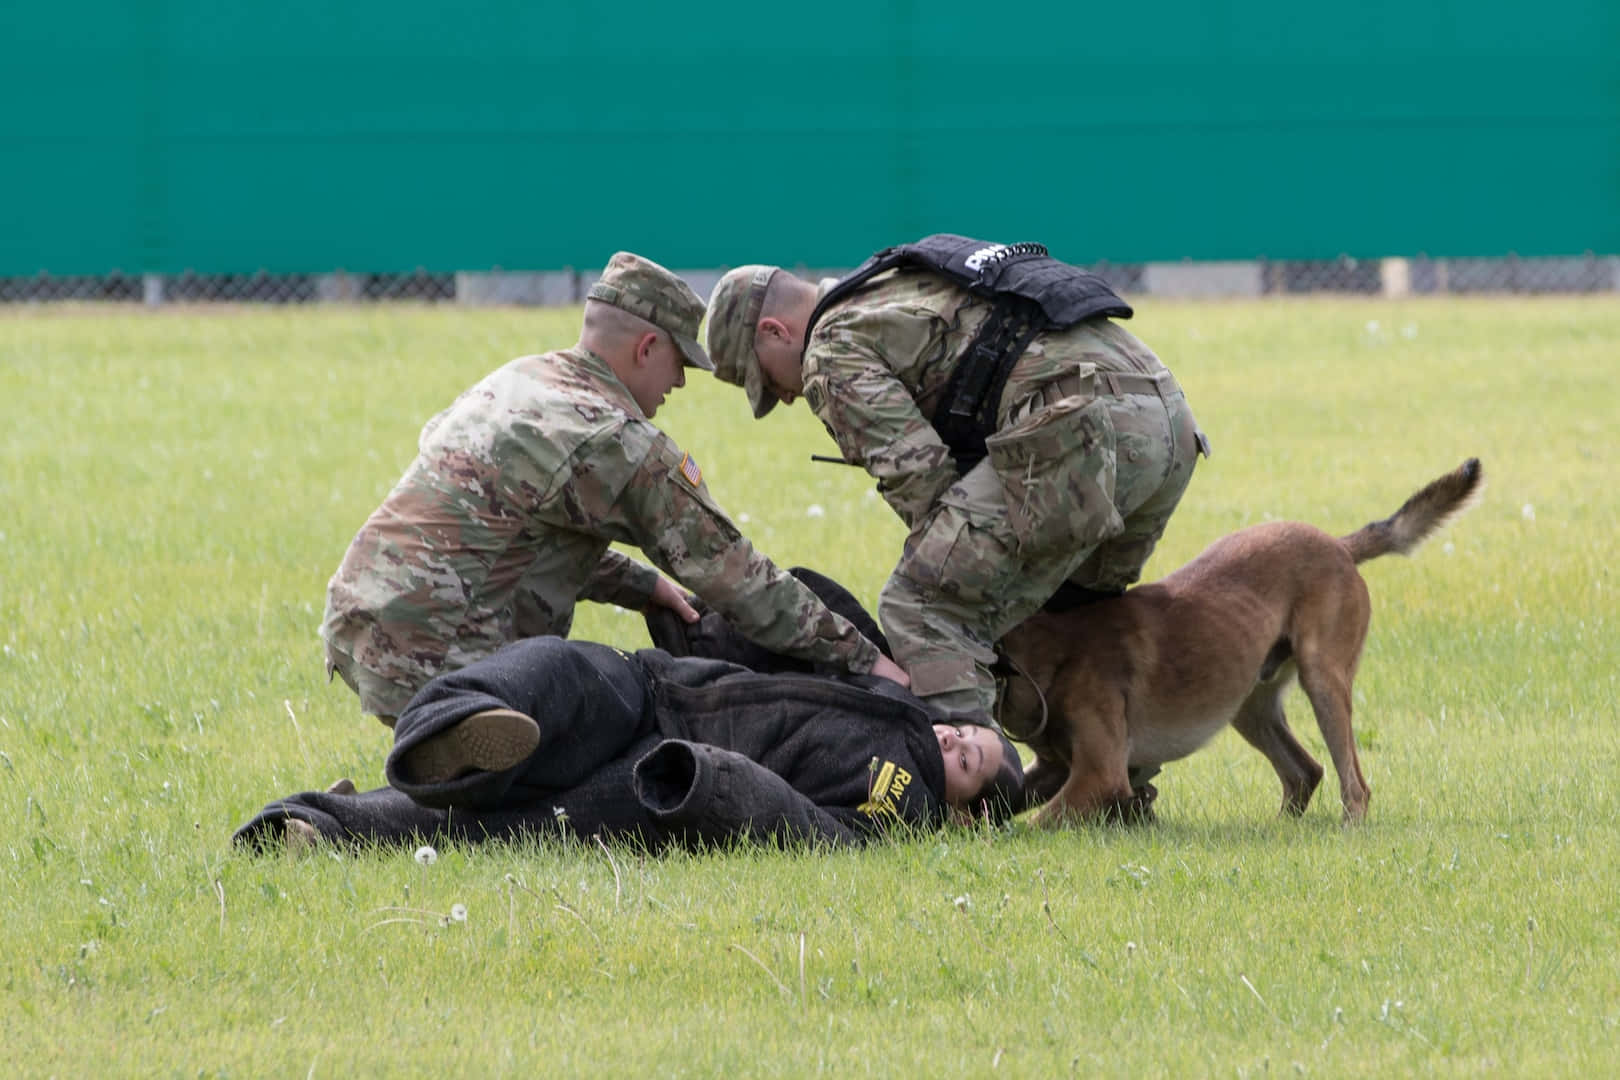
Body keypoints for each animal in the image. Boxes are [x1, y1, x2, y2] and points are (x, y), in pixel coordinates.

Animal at [997, 459, 1483, 829]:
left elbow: (1035, 825)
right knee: (1305, 770)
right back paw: (1281, 829)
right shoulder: (1054, 768)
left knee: (1354, 785)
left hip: (1321, 680)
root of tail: (1338, 545)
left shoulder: (1098, 774)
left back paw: (1347, 829)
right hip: (1248, 705)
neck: (1051, 654)